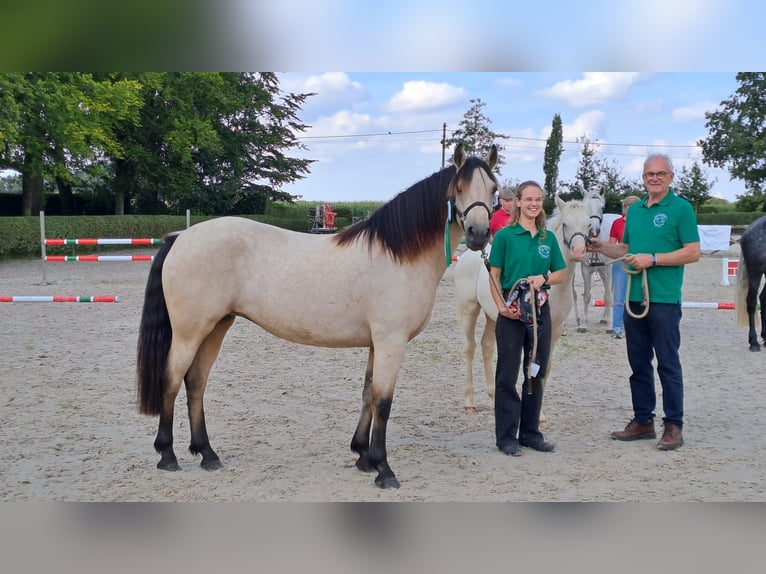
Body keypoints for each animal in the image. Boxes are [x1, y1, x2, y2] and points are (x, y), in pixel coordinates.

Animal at [136, 144, 500, 490]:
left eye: (494, 189)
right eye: (459, 187)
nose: (479, 234)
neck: (398, 256)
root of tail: (181, 238)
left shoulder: (376, 343)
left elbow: (368, 394)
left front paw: (363, 456)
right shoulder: (391, 342)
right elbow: (383, 402)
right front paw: (383, 469)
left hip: (216, 327)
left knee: (196, 381)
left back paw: (207, 453)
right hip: (189, 332)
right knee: (172, 379)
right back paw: (167, 455)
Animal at [456, 196, 592, 420]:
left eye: (589, 224)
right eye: (565, 224)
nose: (579, 252)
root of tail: (469, 255)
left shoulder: (555, 329)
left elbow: (544, 367)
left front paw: (539, 417)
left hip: (493, 316)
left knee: (486, 346)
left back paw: (493, 395)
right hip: (469, 309)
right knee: (469, 348)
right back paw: (469, 403)